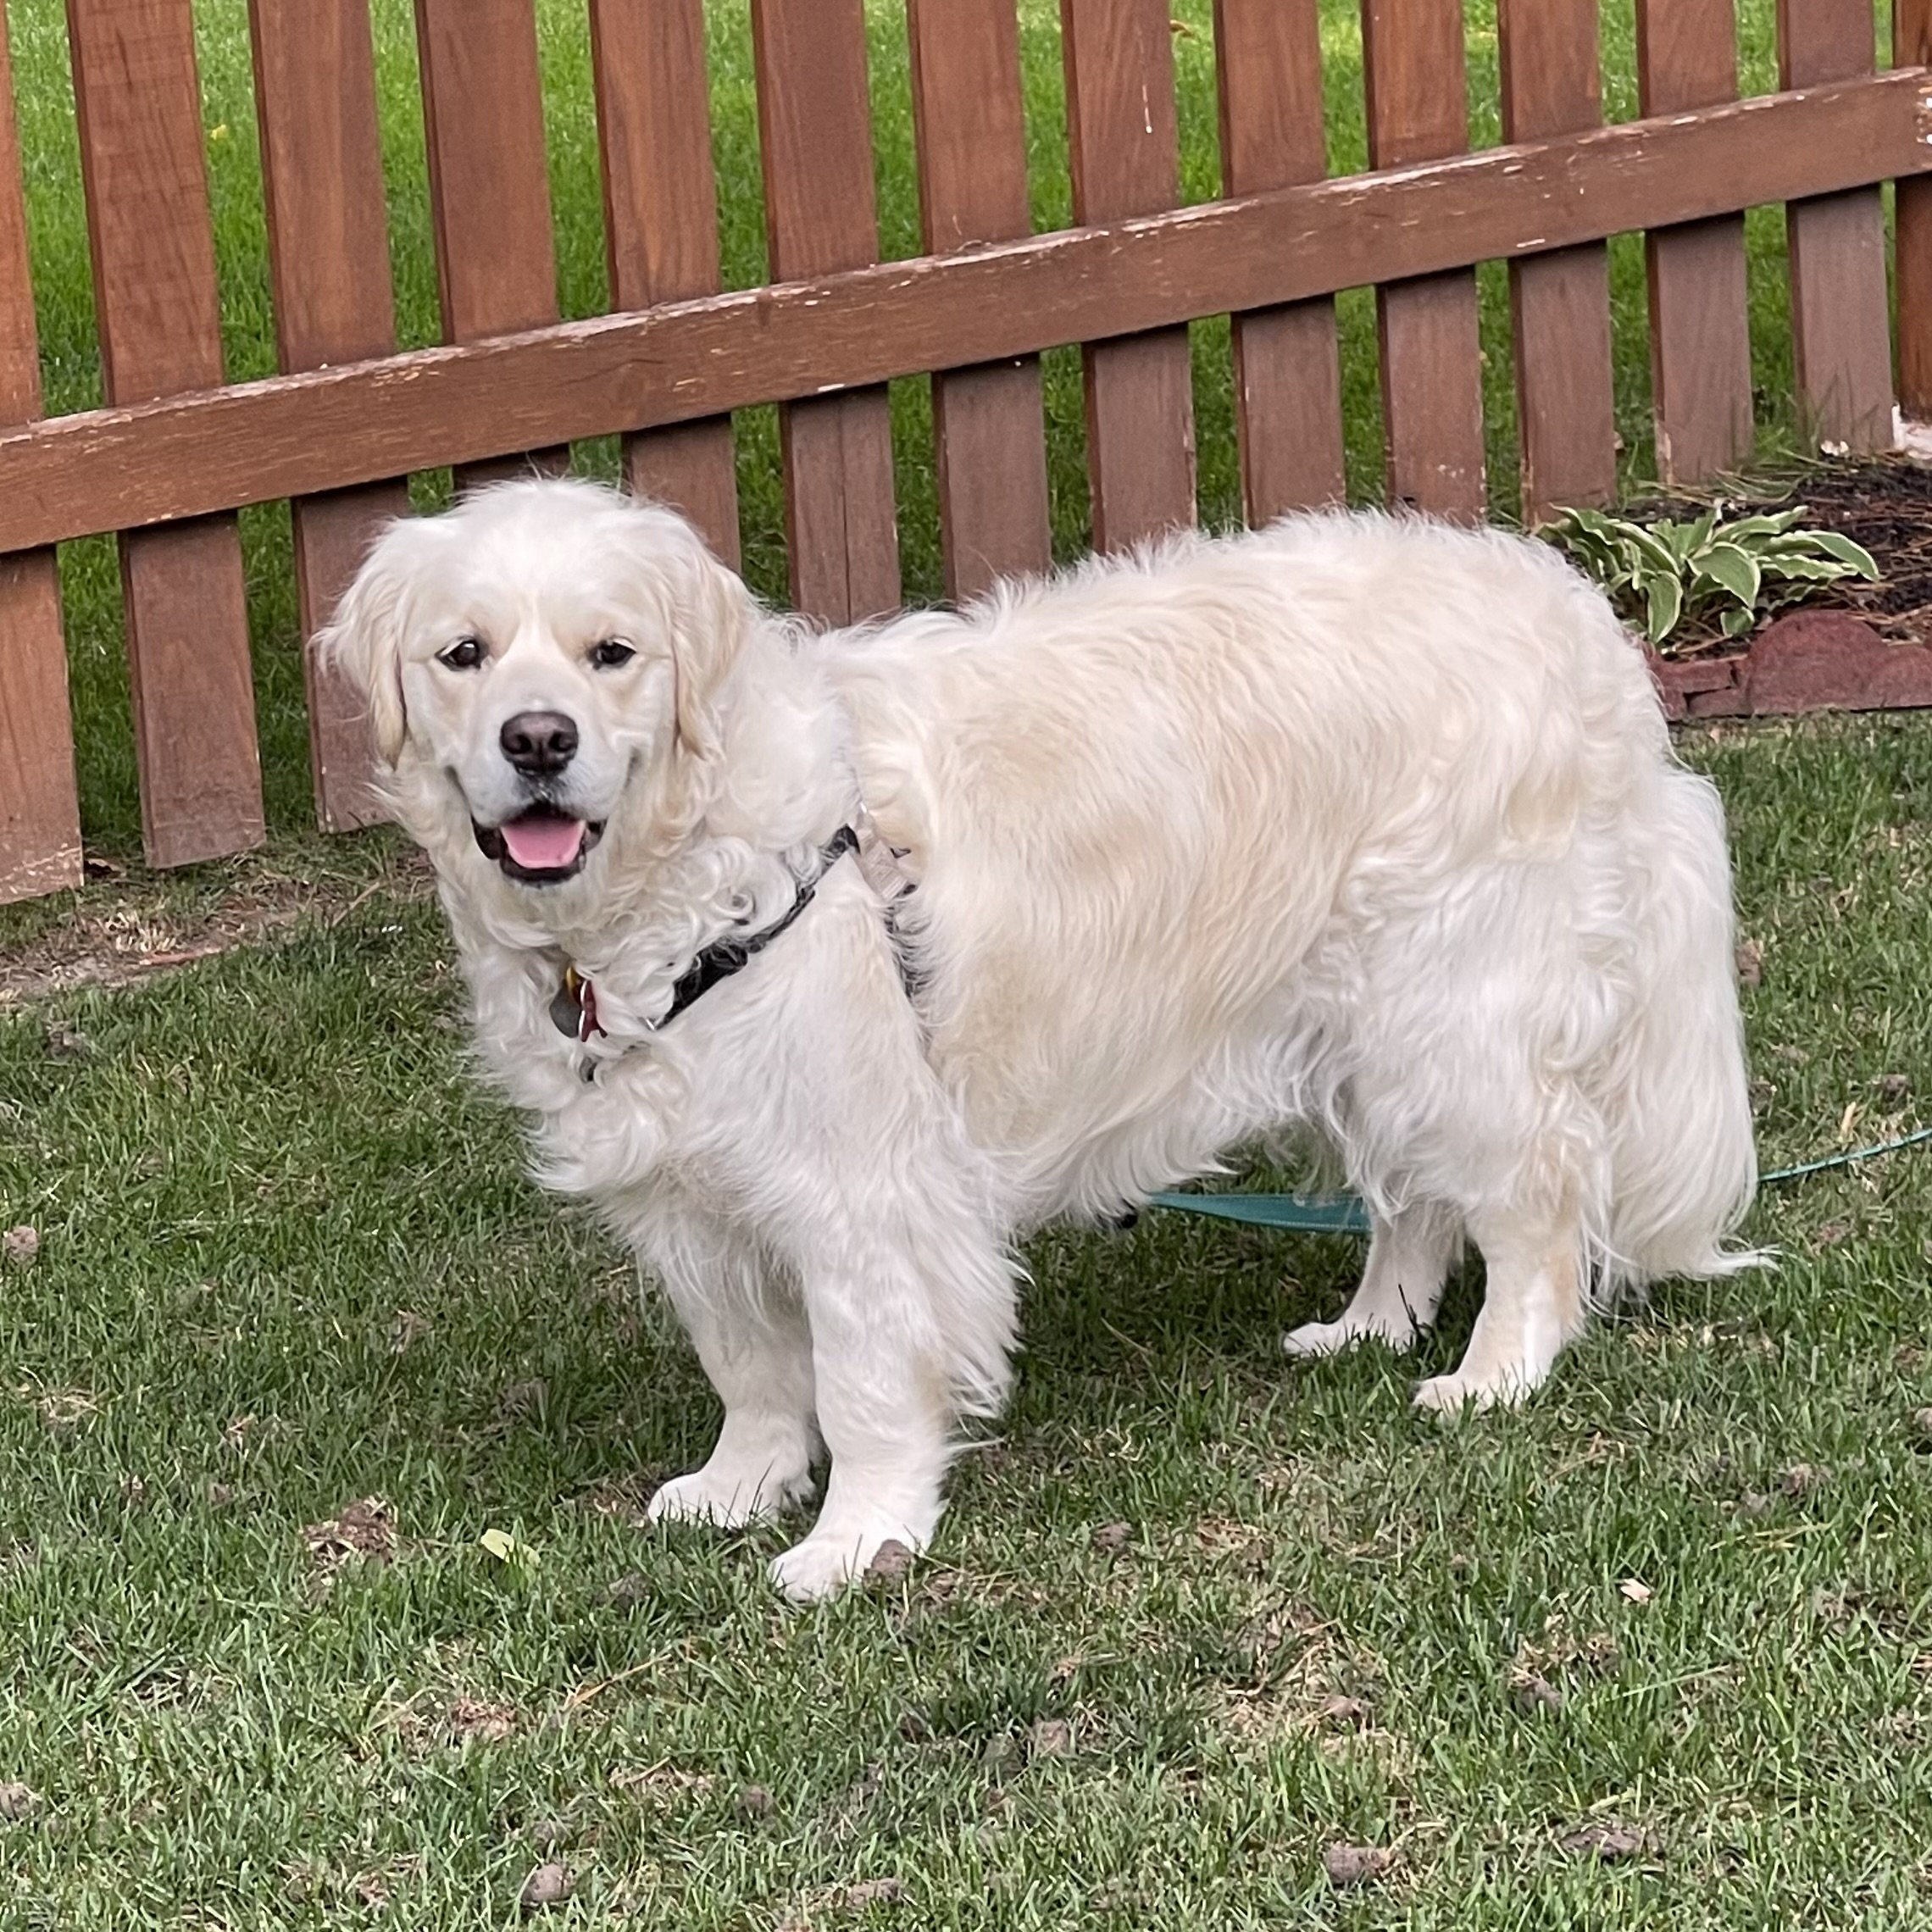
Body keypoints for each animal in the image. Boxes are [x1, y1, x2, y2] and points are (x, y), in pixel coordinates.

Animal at [322, 478, 1758, 1599]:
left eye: (611, 652)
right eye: (463, 654)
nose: (539, 741)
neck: (682, 887)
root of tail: (1577, 612)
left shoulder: (862, 1191)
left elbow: (859, 1380)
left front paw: (855, 1541)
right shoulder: (681, 1186)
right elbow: (749, 1366)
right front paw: (742, 1483)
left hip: (1451, 1005)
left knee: (1535, 1200)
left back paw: (1495, 1371)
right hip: (1361, 1008)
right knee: (1416, 1197)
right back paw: (1367, 1329)